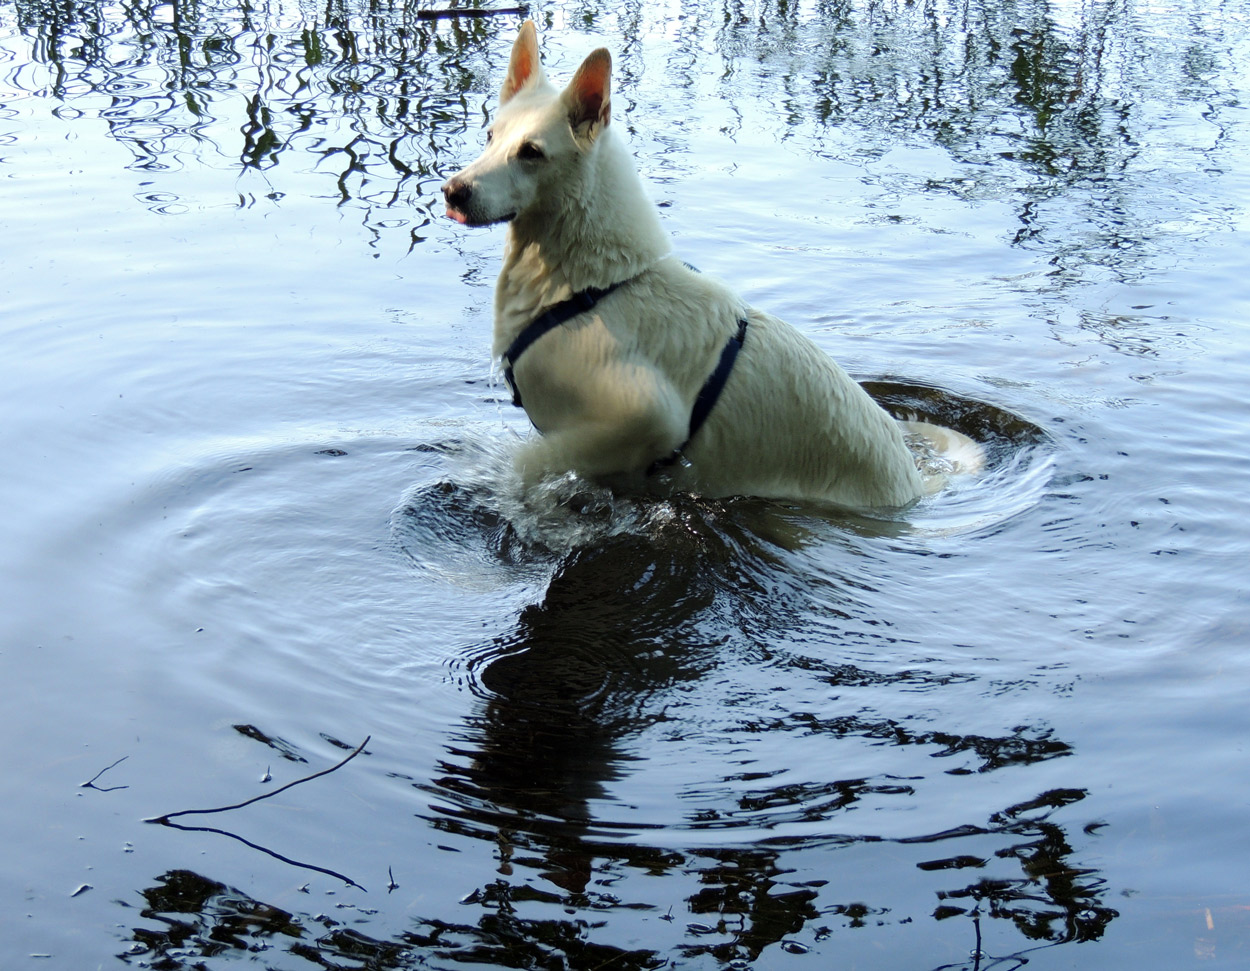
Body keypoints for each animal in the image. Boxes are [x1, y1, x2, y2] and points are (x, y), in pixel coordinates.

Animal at [440, 20, 975, 507]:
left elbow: (530, 461)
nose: (452, 191)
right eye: (490, 136)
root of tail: (914, 484)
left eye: (531, 152)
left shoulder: (646, 415)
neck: (594, 285)